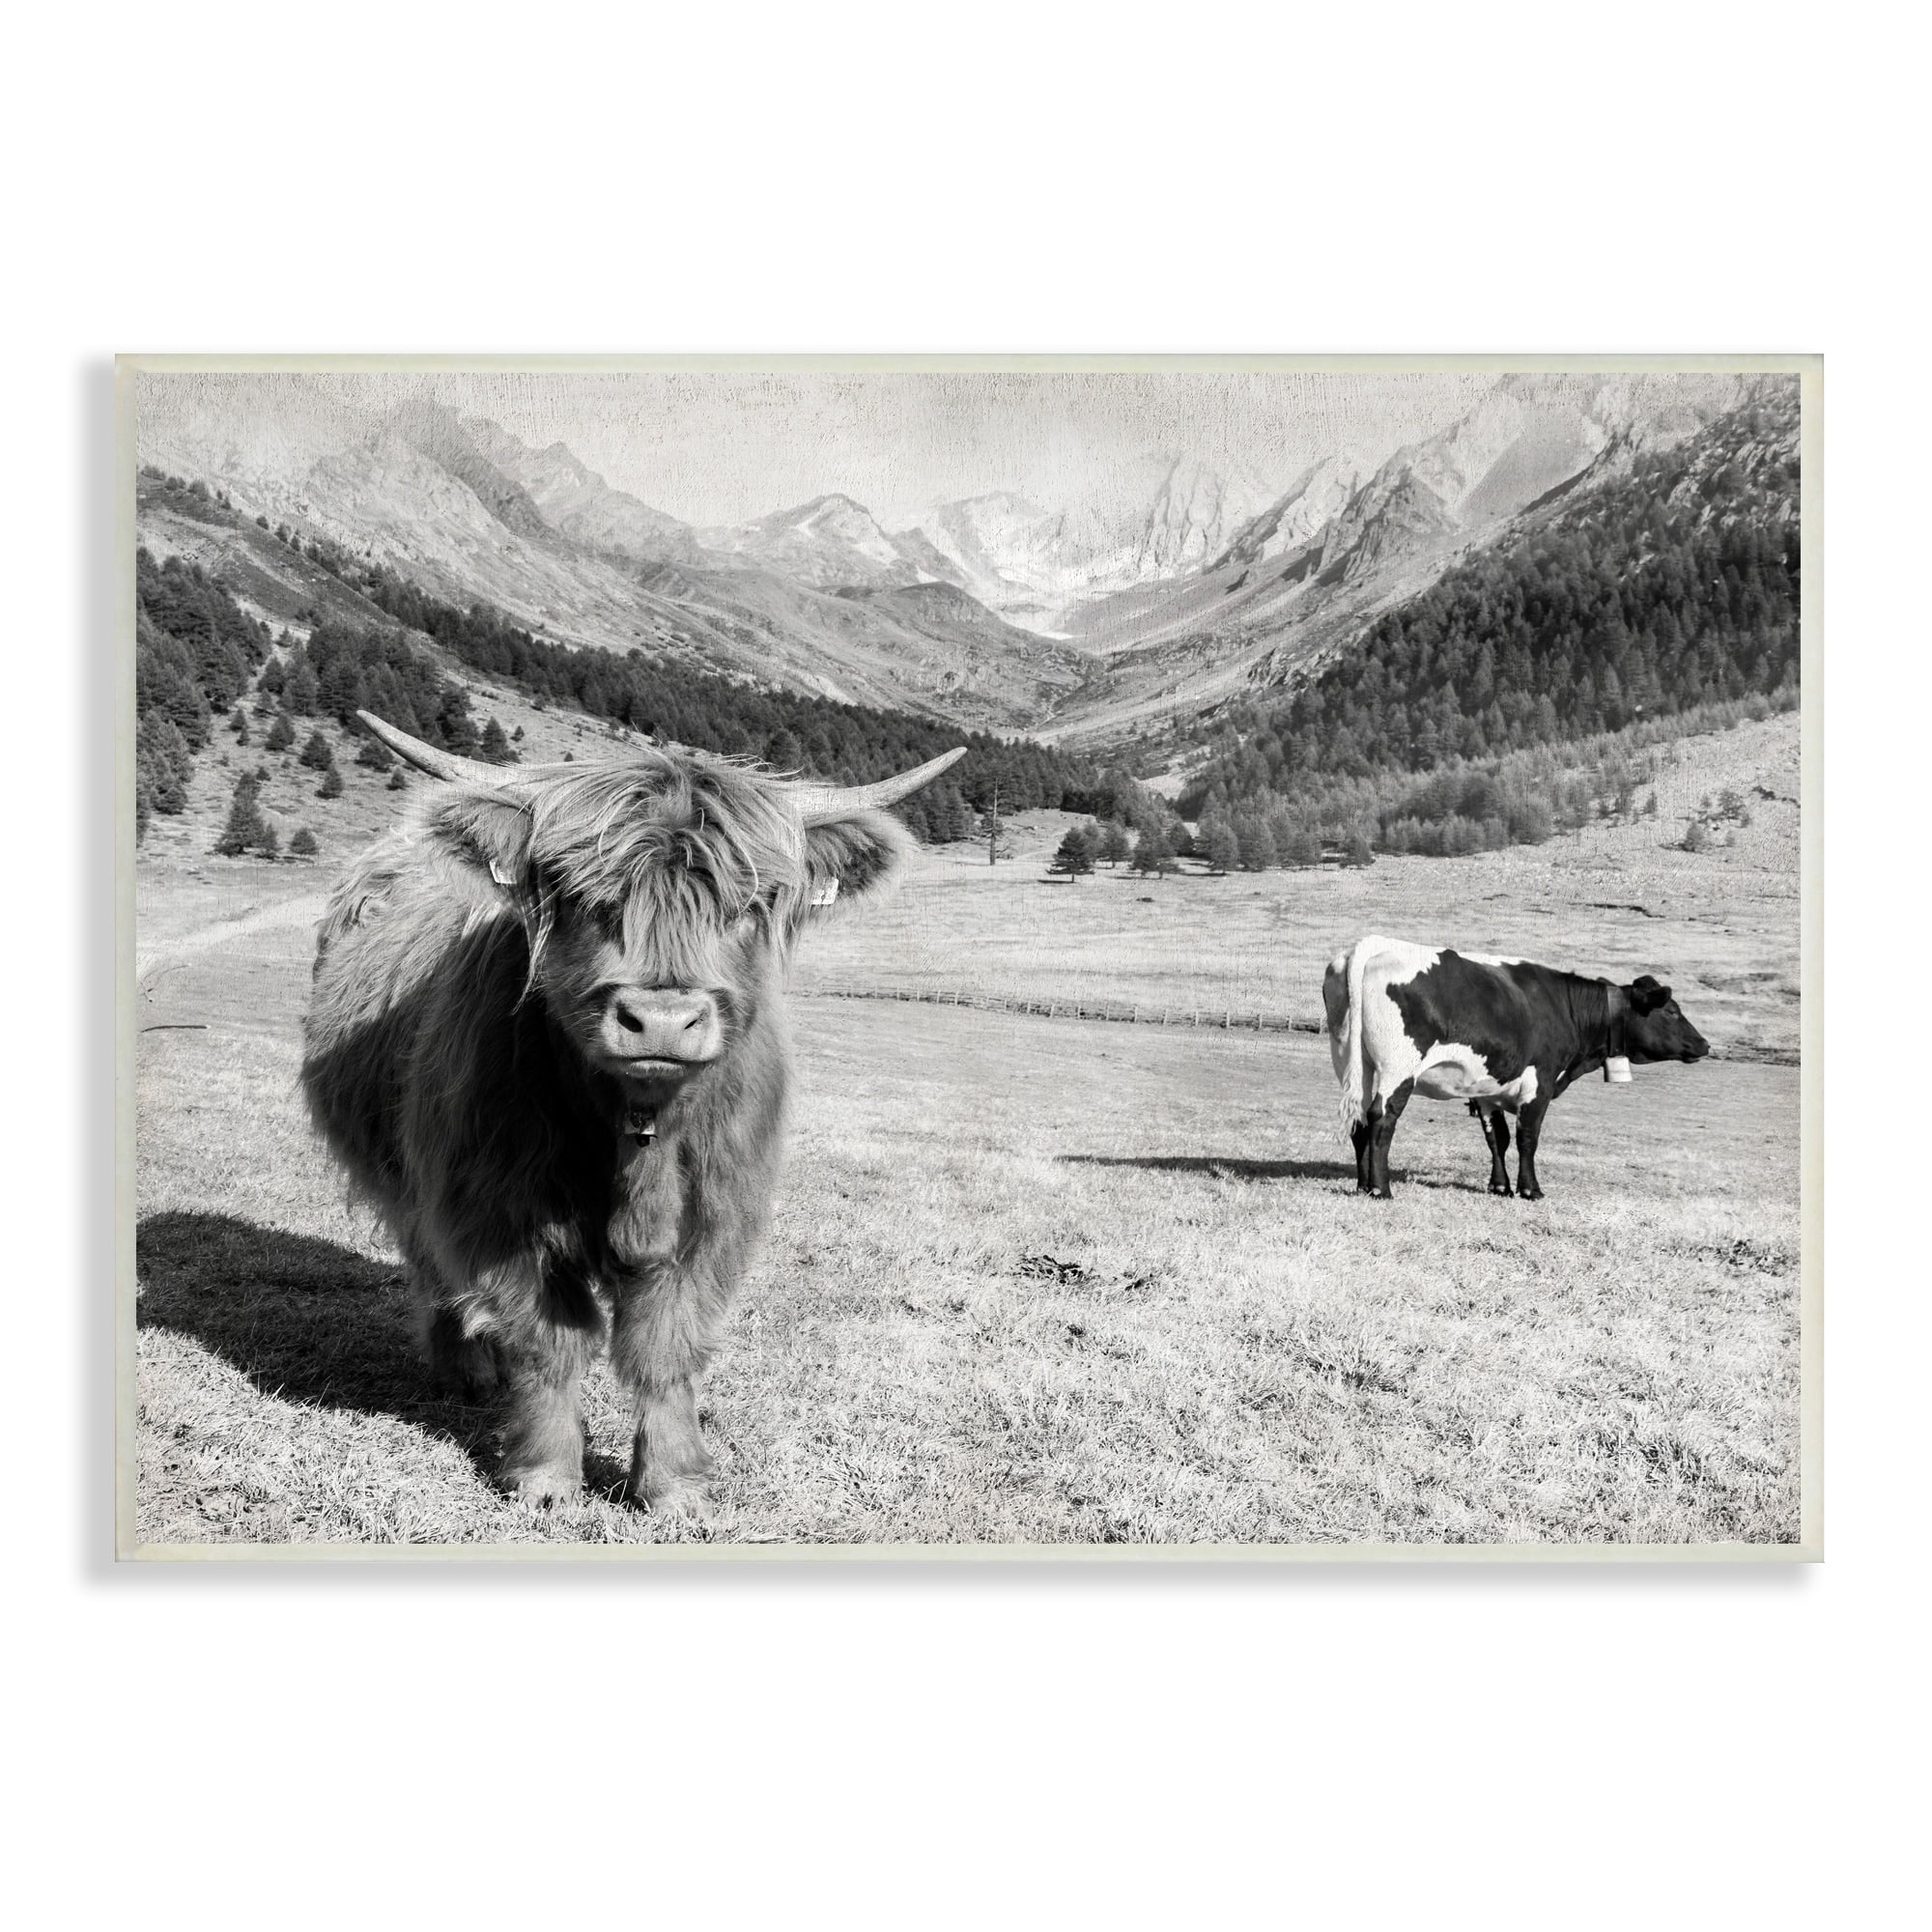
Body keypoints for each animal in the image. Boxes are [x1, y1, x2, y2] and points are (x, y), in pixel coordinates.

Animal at [300, 711, 965, 1510]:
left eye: (745, 905)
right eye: (586, 897)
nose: (662, 1020)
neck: (637, 1130)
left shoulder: (716, 1216)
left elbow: (666, 1346)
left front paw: (674, 1482)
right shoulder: (497, 1208)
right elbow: (550, 1341)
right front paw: (546, 1478)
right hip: (412, 1177)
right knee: (430, 1264)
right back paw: (467, 1369)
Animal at [1322, 934, 1710, 1201]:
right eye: (1671, 1010)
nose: (1704, 1045)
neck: (1565, 1007)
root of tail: (1373, 944)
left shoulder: (1489, 1088)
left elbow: (1498, 1138)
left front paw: (1499, 1186)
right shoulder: (1540, 1084)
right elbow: (1527, 1138)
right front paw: (1530, 1189)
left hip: (1351, 1061)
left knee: (1359, 1119)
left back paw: (1362, 1185)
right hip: (1399, 1067)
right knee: (1382, 1117)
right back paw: (1381, 1189)